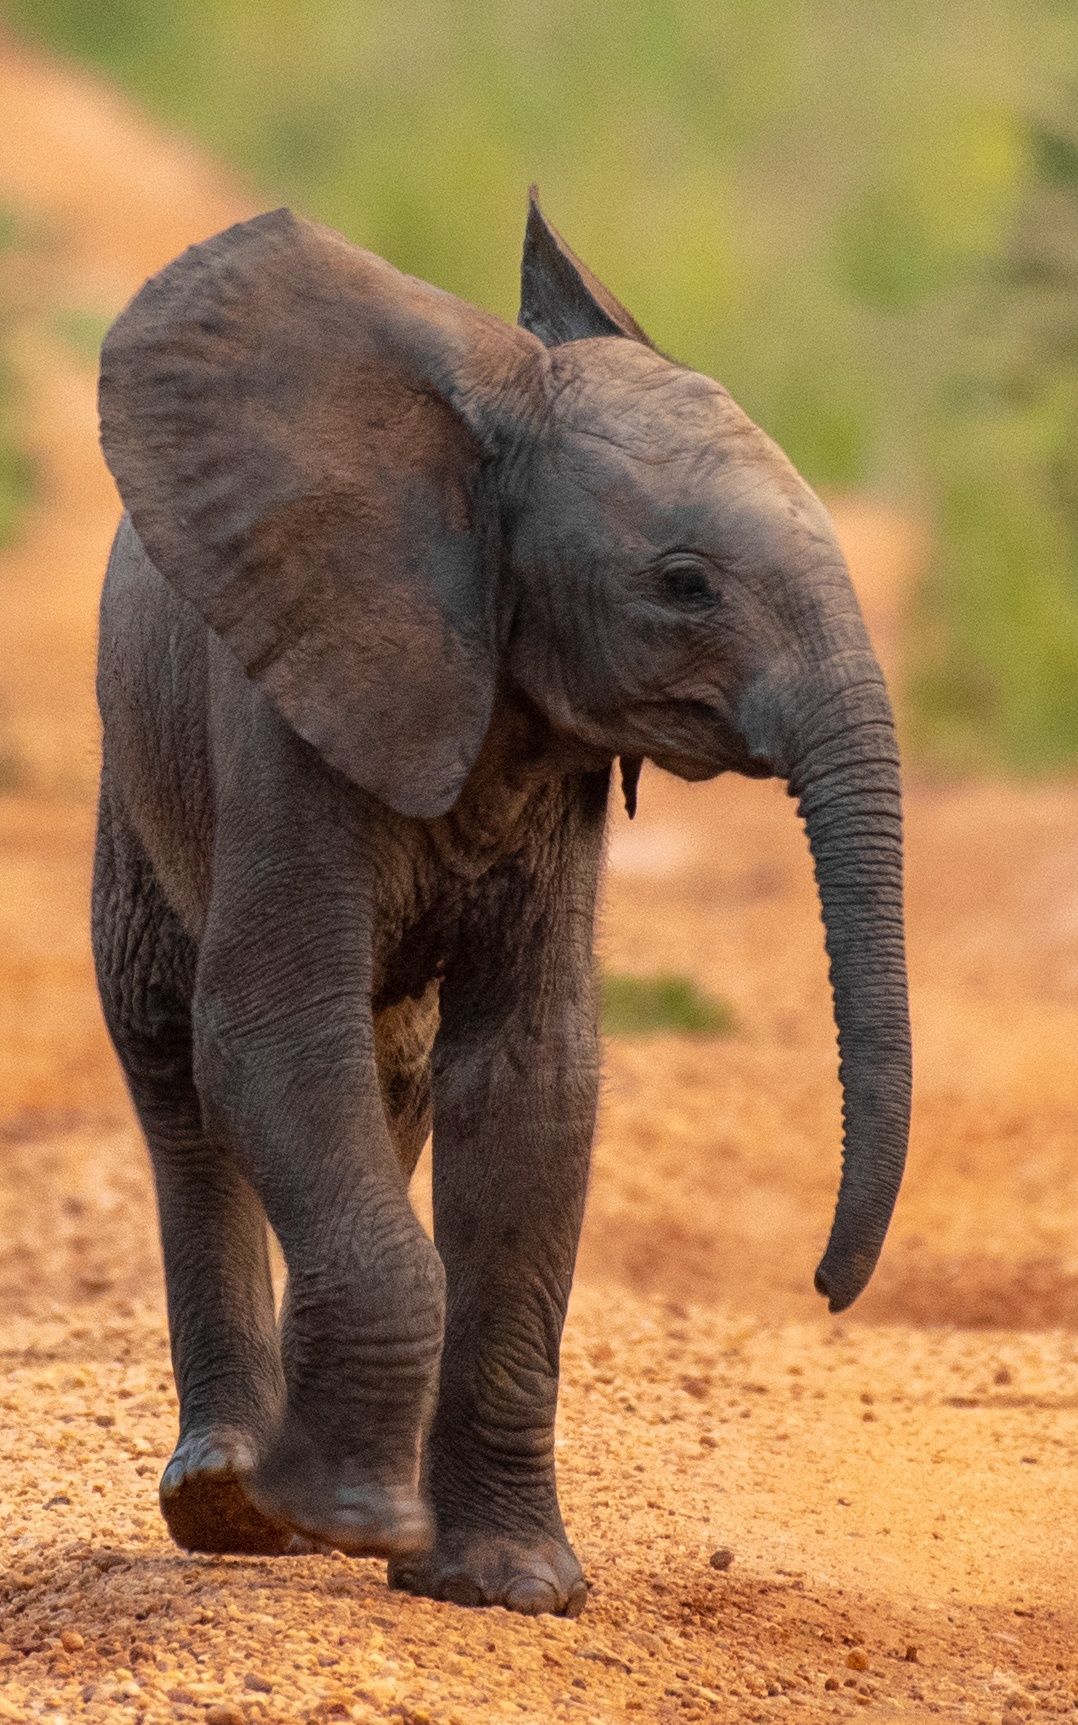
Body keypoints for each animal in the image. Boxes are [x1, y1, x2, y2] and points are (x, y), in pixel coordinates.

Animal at [91, 190, 911, 1618]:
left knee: (394, 1069)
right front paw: (353, 1520)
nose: (825, 1290)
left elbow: (530, 1080)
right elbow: (266, 1034)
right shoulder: (293, 705)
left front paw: (501, 1587)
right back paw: (235, 1503)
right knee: (173, 1064)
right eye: (684, 585)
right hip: (134, 778)